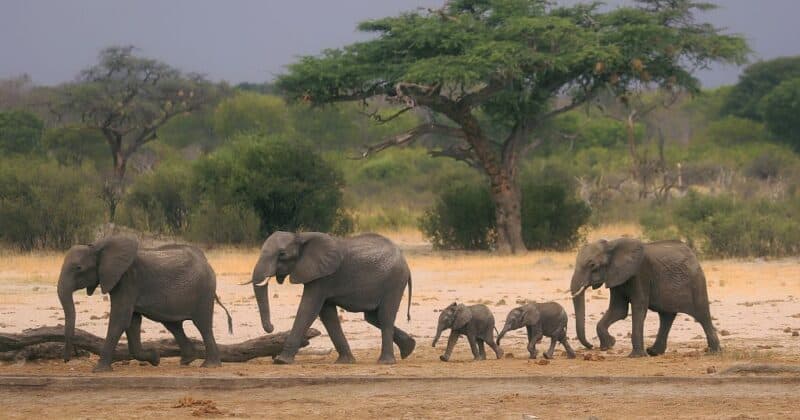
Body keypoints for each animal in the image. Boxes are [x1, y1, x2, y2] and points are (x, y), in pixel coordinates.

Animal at [55, 236, 231, 370]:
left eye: (78, 268)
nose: (67, 359)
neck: (98, 248)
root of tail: (207, 262)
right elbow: (132, 322)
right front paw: (155, 358)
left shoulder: (127, 280)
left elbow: (120, 320)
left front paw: (99, 370)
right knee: (173, 325)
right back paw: (187, 360)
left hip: (204, 291)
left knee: (203, 325)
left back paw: (210, 366)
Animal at [250, 231, 416, 366]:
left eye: (282, 254)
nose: (271, 327)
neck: (301, 236)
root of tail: (405, 262)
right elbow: (327, 314)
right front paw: (345, 362)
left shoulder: (322, 277)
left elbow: (308, 308)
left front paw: (281, 361)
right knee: (372, 317)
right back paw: (409, 348)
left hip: (394, 281)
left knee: (385, 316)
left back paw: (385, 362)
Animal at [572, 240, 720, 358]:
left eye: (592, 266)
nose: (591, 346)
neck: (612, 245)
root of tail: (693, 255)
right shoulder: (616, 277)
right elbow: (618, 310)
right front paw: (609, 345)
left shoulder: (640, 273)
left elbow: (638, 307)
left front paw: (635, 356)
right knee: (666, 316)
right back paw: (654, 352)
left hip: (696, 281)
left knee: (702, 314)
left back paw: (714, 351)